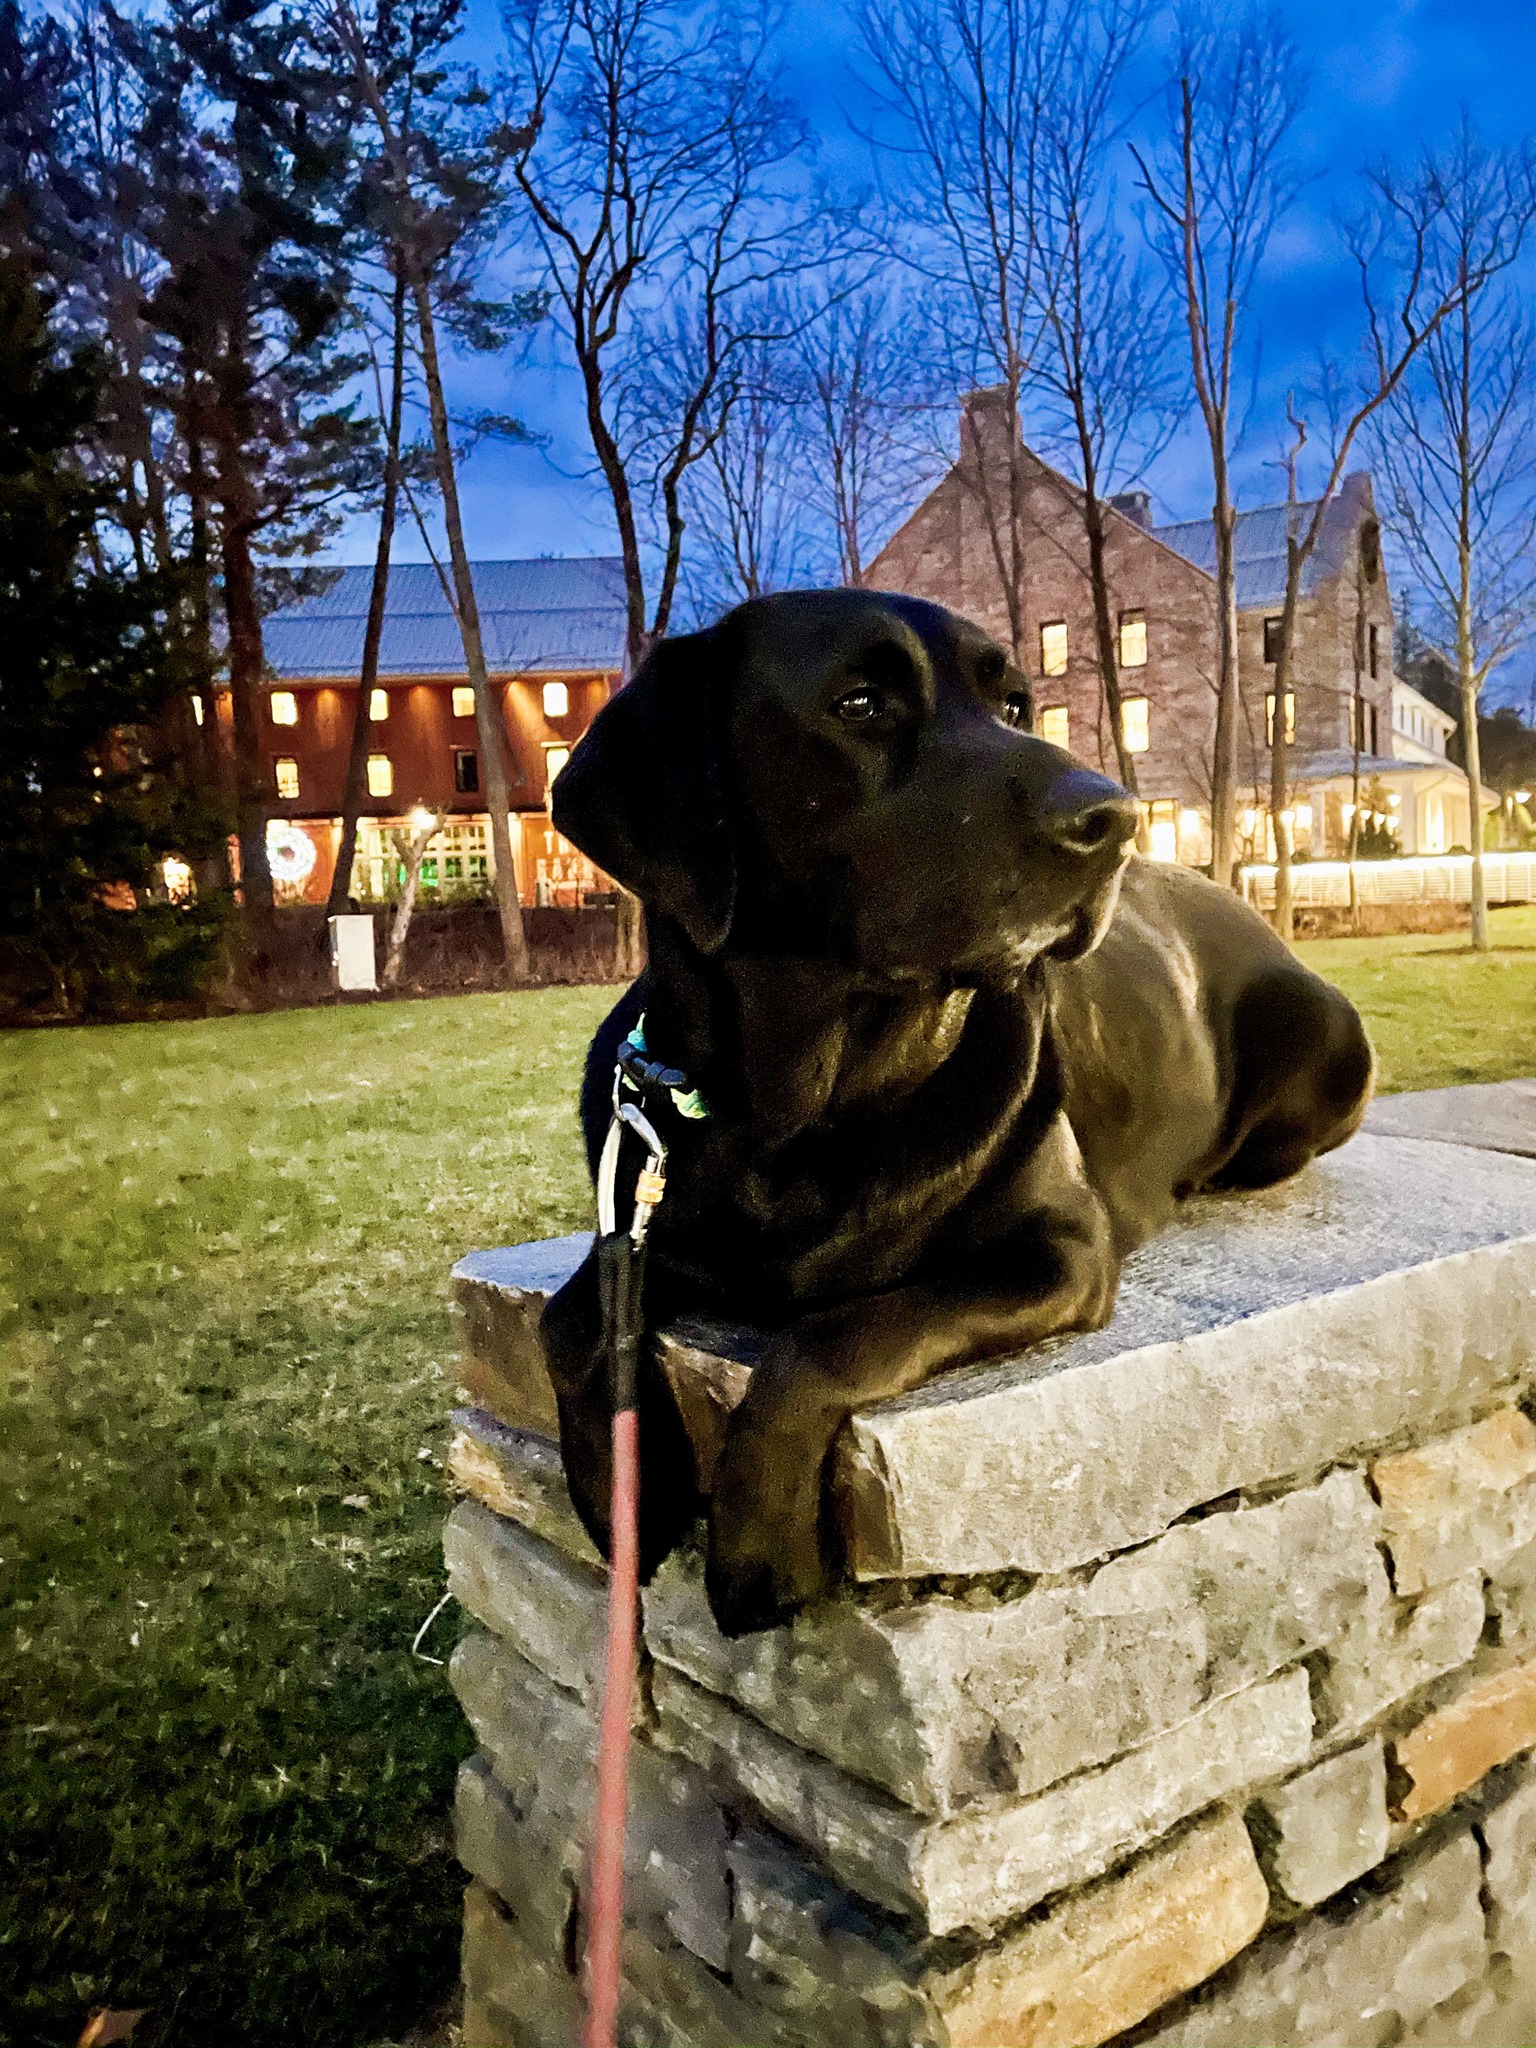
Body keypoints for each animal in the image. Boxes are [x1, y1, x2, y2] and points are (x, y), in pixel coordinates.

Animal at [540, 589, 1374, 1636]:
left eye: (1015, 703)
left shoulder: (1059, 1253)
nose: (1112, 818)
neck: (809, 1108)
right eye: (860, 702)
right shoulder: (641, 1217)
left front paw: (757, 1541)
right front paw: (624, 1493)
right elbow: (569, 1321)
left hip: (1329, 1031)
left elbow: (833, 1336)